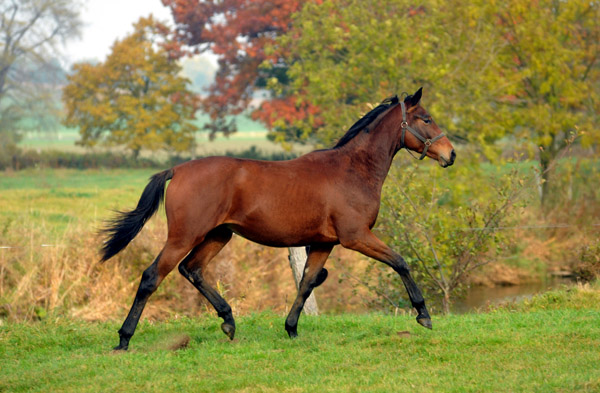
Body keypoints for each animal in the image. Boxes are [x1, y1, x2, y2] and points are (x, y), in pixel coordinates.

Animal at [103, 87, 454, 348]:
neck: (353, 170)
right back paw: (124, 338)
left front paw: (292, 328)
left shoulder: (324, 243)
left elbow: (308, 282)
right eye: (426, 118)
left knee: (193, 269)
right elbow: (400, 262)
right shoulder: (356, 237)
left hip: (219, 235)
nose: (450, 154)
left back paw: (228, 321)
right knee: (152, 276)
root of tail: (177, 169)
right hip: (183, 236)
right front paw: (423, 314)